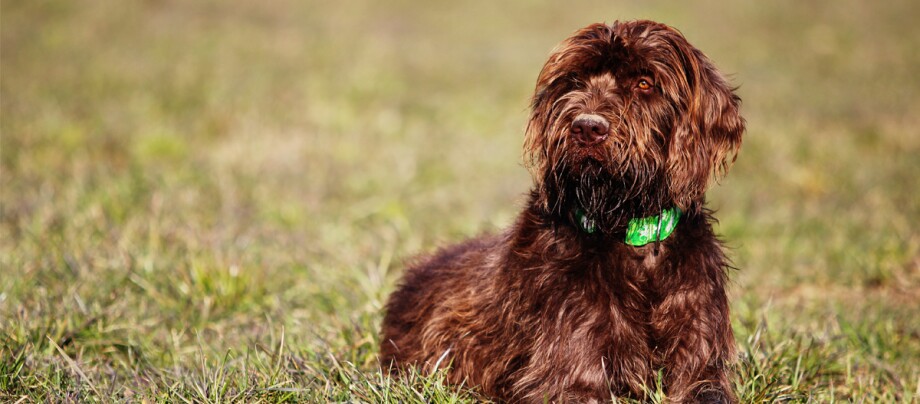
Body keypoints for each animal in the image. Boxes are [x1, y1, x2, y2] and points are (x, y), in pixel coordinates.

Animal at [380, 20, 748, 402]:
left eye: (645, 82)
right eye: (575, 80)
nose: (587, 127)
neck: (629, 232)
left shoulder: (701, 362)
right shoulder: (570, 375)